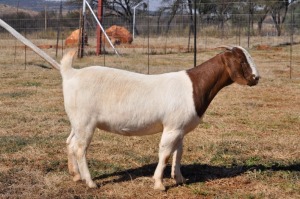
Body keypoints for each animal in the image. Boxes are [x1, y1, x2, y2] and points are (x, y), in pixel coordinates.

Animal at [60, 45, 258, 190]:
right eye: (241, 60)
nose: (256, 78)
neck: (194, 87)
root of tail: (71, 73)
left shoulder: (180, 128)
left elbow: (178, 153)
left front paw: (179, 178)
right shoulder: (172, 128)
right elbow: (165, 154)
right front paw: (159, 184)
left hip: (77, 121)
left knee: (70, 142)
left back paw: (75, 176)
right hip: (85, 121)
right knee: (80, 148)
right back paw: (90, 182)